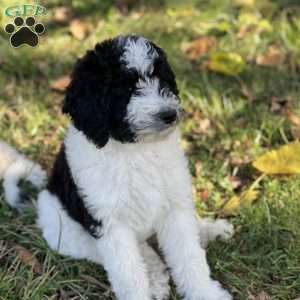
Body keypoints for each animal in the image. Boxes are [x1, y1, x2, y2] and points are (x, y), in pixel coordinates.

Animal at [1, 34, 233, 300]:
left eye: (161, 79)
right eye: (128, 90)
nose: (170, 114)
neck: (135, 149)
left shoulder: (174, 208)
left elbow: (189, 256)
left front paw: (204, 292)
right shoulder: (109, 224)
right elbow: (129, 273)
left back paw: (210, 230)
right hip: (68, 236)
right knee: (138, 250)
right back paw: (155, 275)